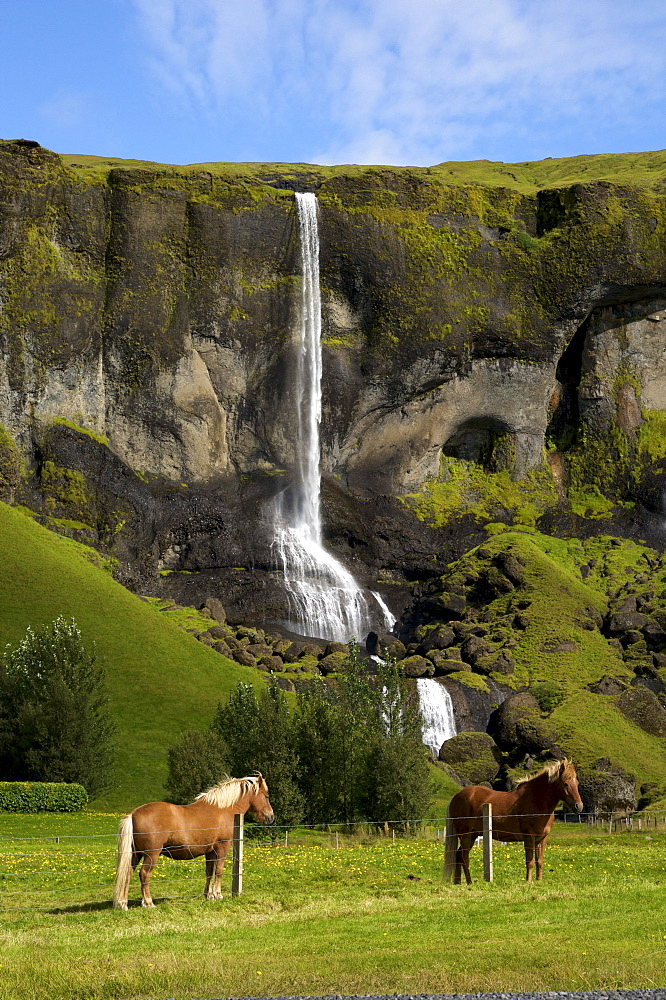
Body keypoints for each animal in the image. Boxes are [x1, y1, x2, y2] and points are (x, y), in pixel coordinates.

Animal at [113, 776, 274, 912]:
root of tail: (133, 814)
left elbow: (209, 872)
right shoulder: (222, 847)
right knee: (144, 874)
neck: (223, 809)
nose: (271, 817)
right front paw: (218, 895)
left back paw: (123, 904)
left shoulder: (210, 852)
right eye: (266, 796)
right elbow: (219, 871)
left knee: (127, 874)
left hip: (135, 855)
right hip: (151, 855)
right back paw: (148, 902)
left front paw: (208, 895)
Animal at [444, 756, 580, 884]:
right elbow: (530, 861)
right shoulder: (529, 837)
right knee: (464, 856)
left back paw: (458, 882)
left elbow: (539, 861)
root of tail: (456, 796)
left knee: (458, 855)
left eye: (577, 783)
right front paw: (528, 881)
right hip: (465, 834)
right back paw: (469, 882)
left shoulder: (541, 838)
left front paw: (539, 880)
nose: (579, 806)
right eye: (565, 783)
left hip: (473, 834)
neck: (536, 800)